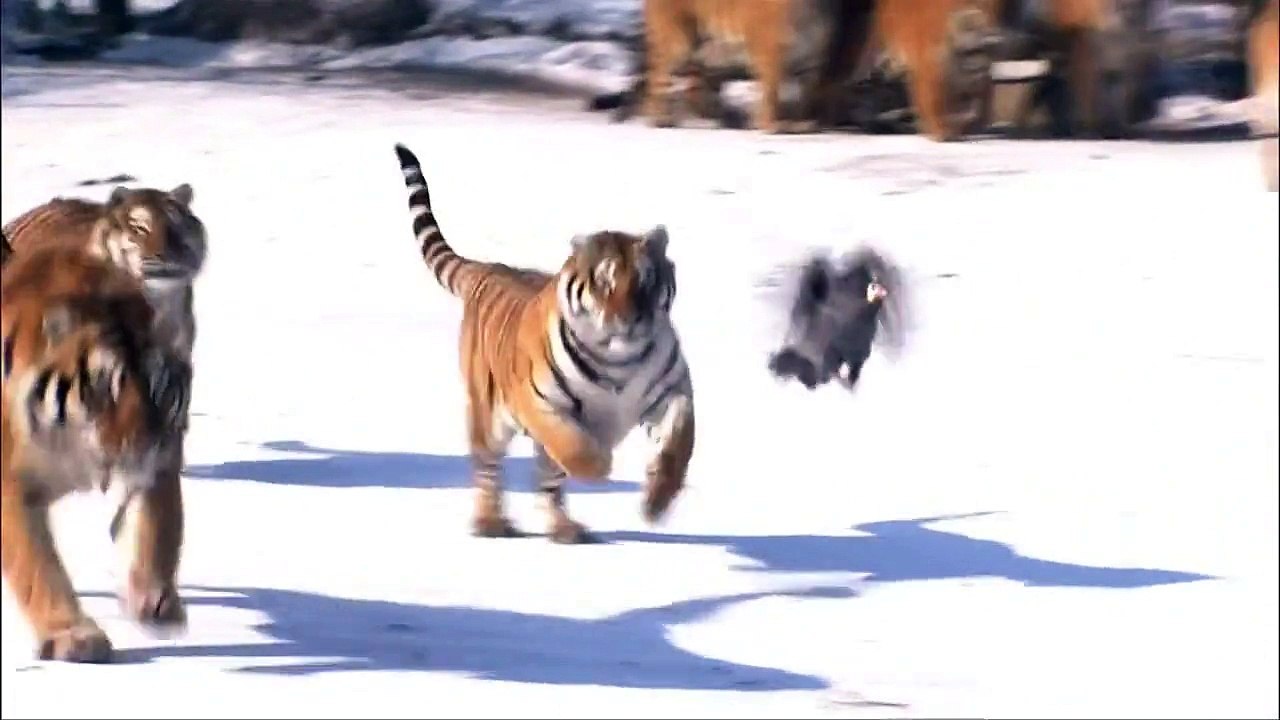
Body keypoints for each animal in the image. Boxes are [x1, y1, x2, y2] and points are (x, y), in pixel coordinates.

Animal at [2, 242, 192, 663]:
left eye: (156, 389)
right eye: (107, 389)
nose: (138, 444)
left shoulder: (162, 459)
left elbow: (159, 527)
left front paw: (153, 600)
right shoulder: (9, 484)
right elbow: (37, 564)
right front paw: (72, 634)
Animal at [392, 143, 695, 544]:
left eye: (646, 280)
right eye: (605, 282)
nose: (630, 320)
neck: (620, 359)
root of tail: (489, 267)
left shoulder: (673, 392)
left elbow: (680, 440)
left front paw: (656, 501)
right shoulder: (539, 402)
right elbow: (575, 447)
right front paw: (602, 464)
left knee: (548, 483)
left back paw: (564, 529)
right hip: (487, 414)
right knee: (488, 466)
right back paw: (490, 522)